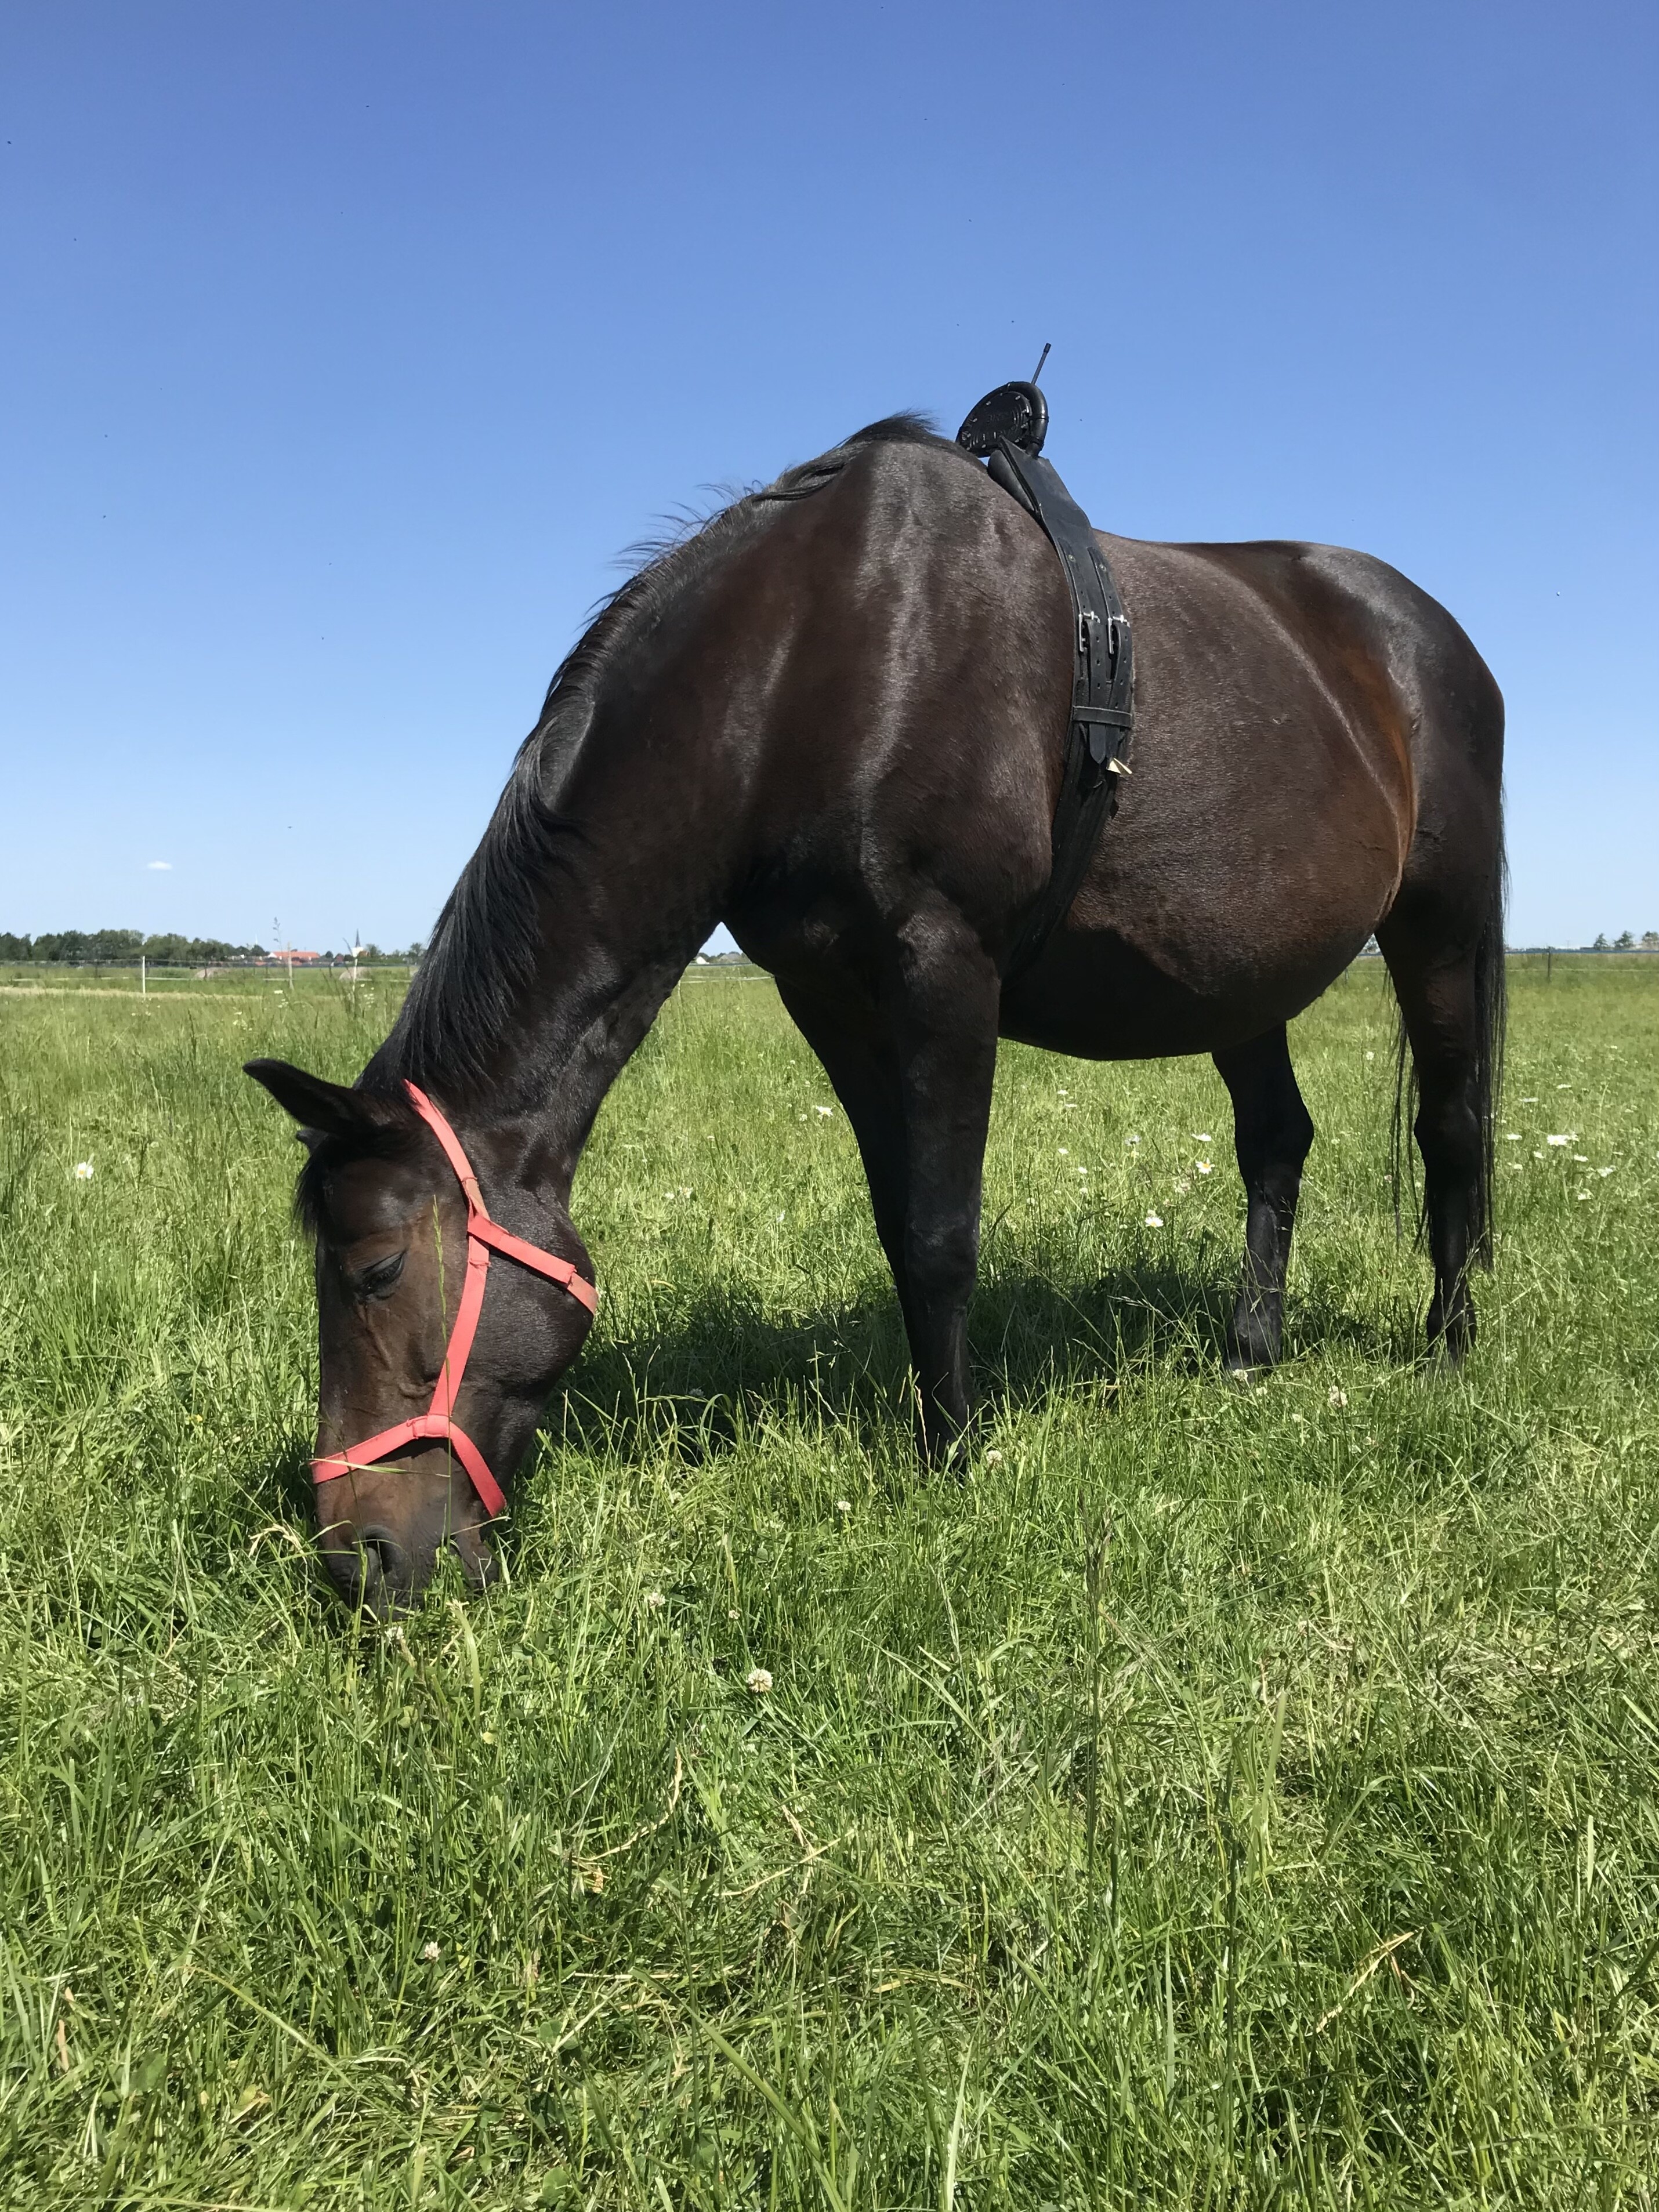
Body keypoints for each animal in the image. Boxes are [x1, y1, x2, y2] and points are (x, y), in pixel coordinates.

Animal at [248, 412, 1505, 1614]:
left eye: (373, 1270)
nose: (356, 1558)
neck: (812, 656)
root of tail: (1430, 631)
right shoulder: (831, 998)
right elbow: (901, 1225)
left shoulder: (942, 966)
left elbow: (944, 1233)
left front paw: (952, 1457)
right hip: (1240, 982)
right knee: (1276, 1139)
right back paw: (1250, 1351)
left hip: (1438, 924)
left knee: (1449, 1130)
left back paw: (1448, 1352)